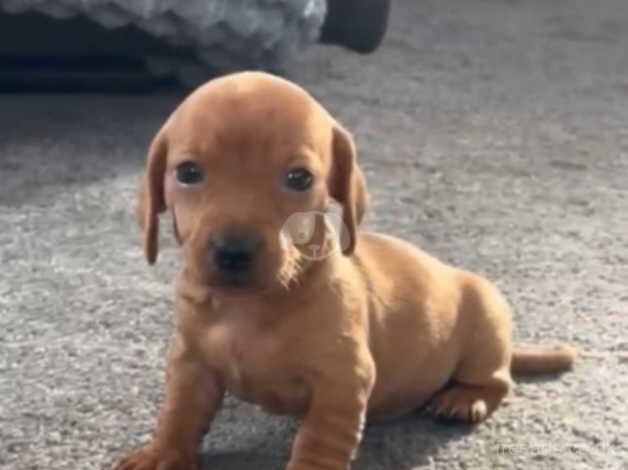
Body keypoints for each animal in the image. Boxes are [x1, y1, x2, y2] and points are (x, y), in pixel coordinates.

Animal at [115, 70, 576, 470]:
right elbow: (180, 412)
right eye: (188, 172)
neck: (246, 308)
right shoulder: (191, 363)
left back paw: (465, 397)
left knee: (498, 380)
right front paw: (164, 453)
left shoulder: (342, 382)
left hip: (485, 332)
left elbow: (320, 440)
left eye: (299, 178)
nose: (233, 252)